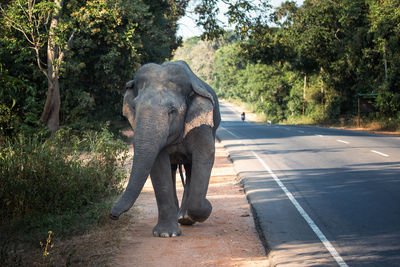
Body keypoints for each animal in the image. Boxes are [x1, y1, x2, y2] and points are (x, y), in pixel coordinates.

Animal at [109, 59, 220, 238]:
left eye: (172, 110)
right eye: (134, 108)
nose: (113, 215)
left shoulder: (202, 124)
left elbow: (205, 155)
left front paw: (207, 207)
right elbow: (158, 164)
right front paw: (166, 234)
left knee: (190, 167)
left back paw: (184, 217)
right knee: (175, 168)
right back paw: (179, 217)